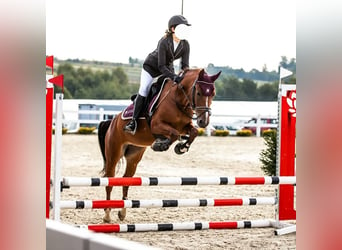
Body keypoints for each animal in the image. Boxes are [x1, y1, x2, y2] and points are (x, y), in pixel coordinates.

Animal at [98, 67, 222, 222]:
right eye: (198, 92)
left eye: (213, 94)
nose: (203, 121)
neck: (178, 99)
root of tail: (112, 121)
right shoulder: (157, 125)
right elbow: (173, 134)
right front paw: (161, 145)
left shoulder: (184, 127)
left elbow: (192, 132)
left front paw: (182, 147)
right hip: (114, 153)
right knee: (110, 180)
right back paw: (107, 214)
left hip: (134, 156)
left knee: (126, 180)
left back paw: (122, 212)